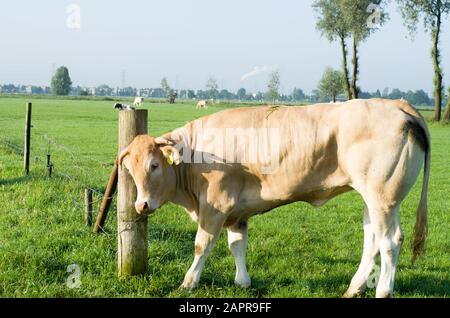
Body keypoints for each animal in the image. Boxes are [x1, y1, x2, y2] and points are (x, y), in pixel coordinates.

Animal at [118, 99, 430, 298]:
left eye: (154, 165)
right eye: (130, 170)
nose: (141, 205)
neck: (197, 154)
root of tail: (399, 105)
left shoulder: (216, 204)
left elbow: (201, 245)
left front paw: (188, 282)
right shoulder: (236, 210)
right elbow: (237, 245)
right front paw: (243, 281)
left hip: (382, 198)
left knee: (390, 242)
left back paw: (383, 291)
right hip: (371, 199)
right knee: (372, 240)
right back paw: (354, 288)